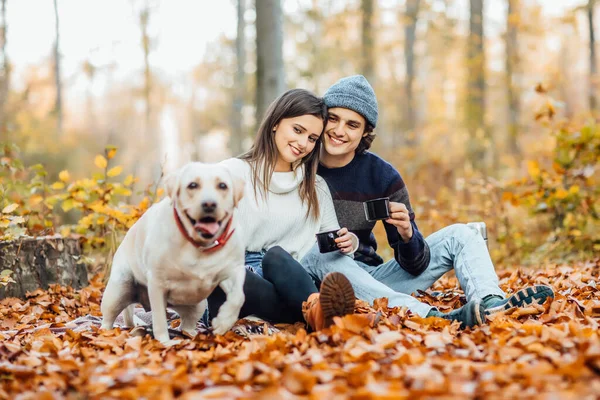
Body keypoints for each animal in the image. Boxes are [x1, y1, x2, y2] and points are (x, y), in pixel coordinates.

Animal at [99, 162, 245, 344]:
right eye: (192, 185)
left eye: (223, 185)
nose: (209, 204)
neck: (199, 246)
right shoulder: (157, 283)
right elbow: (160, 319)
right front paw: (165, 343)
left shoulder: (233, 269)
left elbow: (238, 296)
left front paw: (224, 321)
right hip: (118, 289)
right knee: (108, 318)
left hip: (197, 305)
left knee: (186, 325)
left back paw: (191, 335)